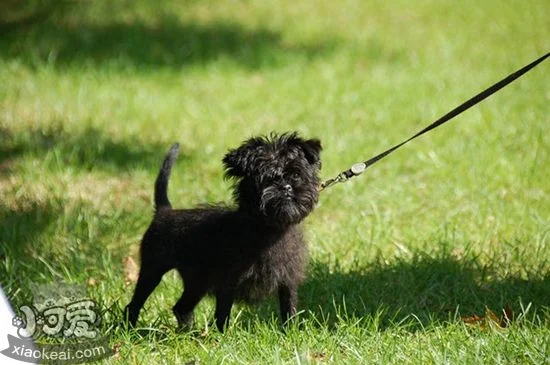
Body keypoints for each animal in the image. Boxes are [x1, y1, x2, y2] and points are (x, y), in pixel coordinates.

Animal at [124, 132, 324, 330]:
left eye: (296, 175)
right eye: (265, 178)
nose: (285, 187)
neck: (271, 229)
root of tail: (165, 211)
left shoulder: (288, 280)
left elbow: (289, 307)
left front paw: (290, 332)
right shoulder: (228, 282)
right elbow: (223, 313)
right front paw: (221, 335)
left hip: (197, 282)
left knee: (181, 307)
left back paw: (186, 332)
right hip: (153, 269)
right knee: (135, 304)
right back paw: (131, 329)